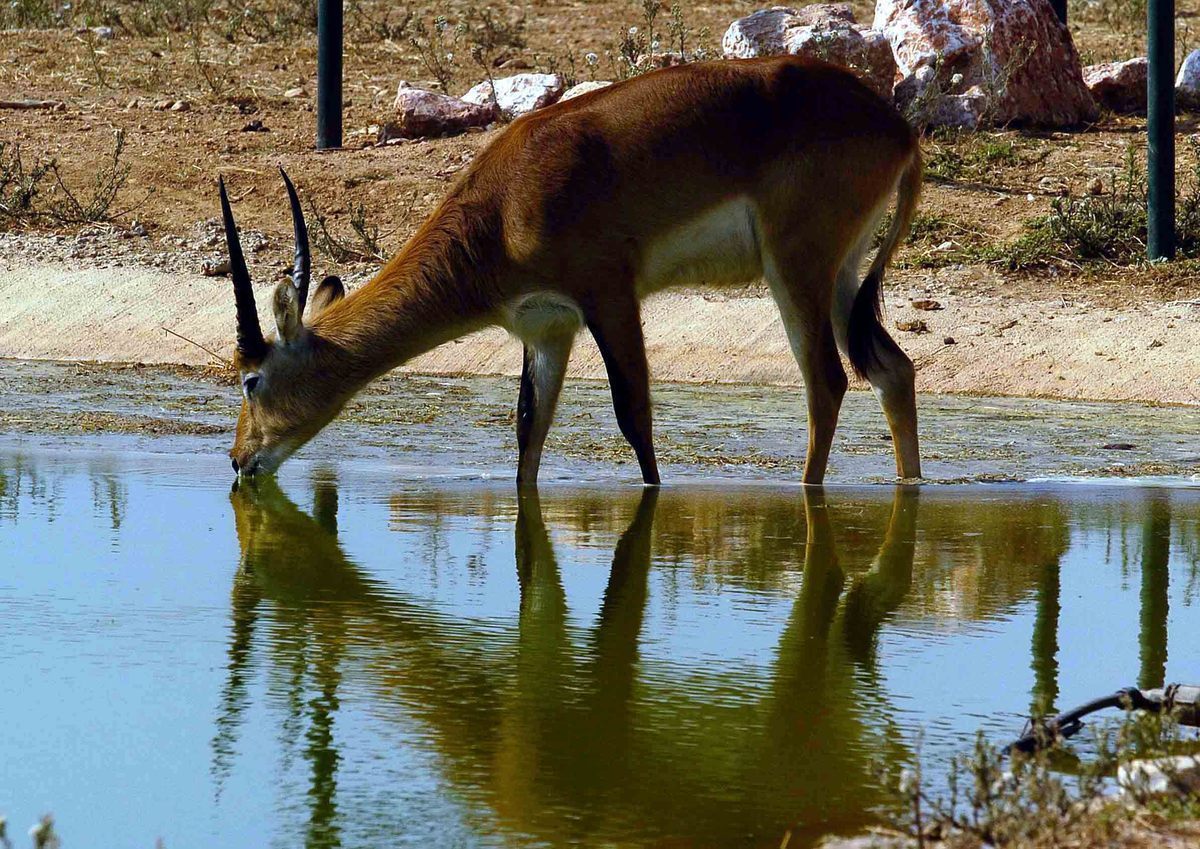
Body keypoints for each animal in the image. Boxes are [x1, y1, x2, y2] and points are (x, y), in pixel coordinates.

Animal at [220, 56, 921, 484]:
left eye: (251, 380)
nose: (238, 460)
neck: (501, 209)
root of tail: (896, 128)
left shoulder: (608, 295)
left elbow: (633, 417)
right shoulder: (547, 328)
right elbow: (529, 434)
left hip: (795, 269)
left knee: (827, 383)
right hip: (841, 275)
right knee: (893, 370)